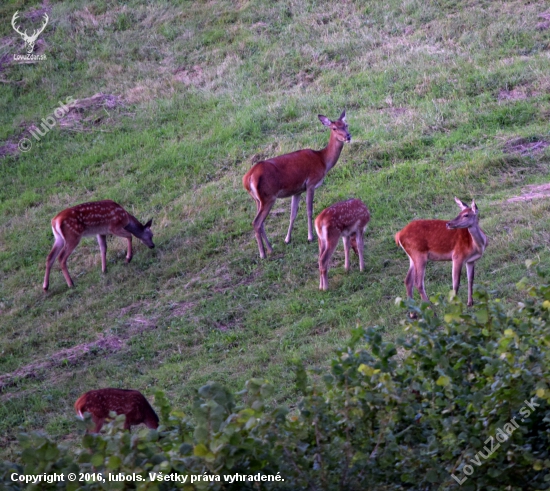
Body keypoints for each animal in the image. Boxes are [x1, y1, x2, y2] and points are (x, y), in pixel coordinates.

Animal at [243, 110, 354, 258]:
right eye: (334, 128)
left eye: (346, 125)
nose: (348, 136)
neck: (323, 161)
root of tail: (248, 178)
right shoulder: (311, 183)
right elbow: (309, 210)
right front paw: (310, 237)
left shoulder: (297, 190)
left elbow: (293, 214)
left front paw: (287, 239)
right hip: (268, 197)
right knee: (256, 222)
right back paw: (263, 254)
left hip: (258, 199)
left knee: (261, 223)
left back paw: (270, 248)